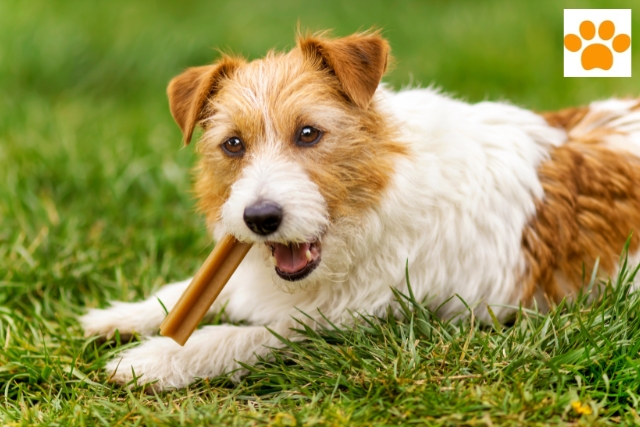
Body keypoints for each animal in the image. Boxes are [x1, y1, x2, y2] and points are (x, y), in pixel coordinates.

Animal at [80, 30, 640, 392]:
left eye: (309, 133)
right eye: (233, 144)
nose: (260, 218)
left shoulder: (368, 330)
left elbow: (251, 335)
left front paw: (157, 359)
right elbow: (188, 294)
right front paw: (120, 315)